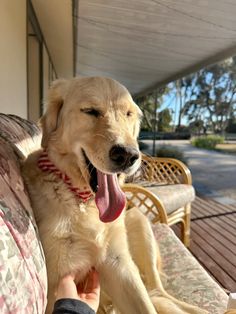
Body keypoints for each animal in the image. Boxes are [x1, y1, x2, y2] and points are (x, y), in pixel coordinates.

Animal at [22, 76, 206, 314]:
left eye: (128, 114)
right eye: (90, 111)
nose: (128, 155)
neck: (83, 201)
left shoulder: (119, 264)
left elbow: (146, 306)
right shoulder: (59, 279)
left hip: (137, 219)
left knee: (157, 292)